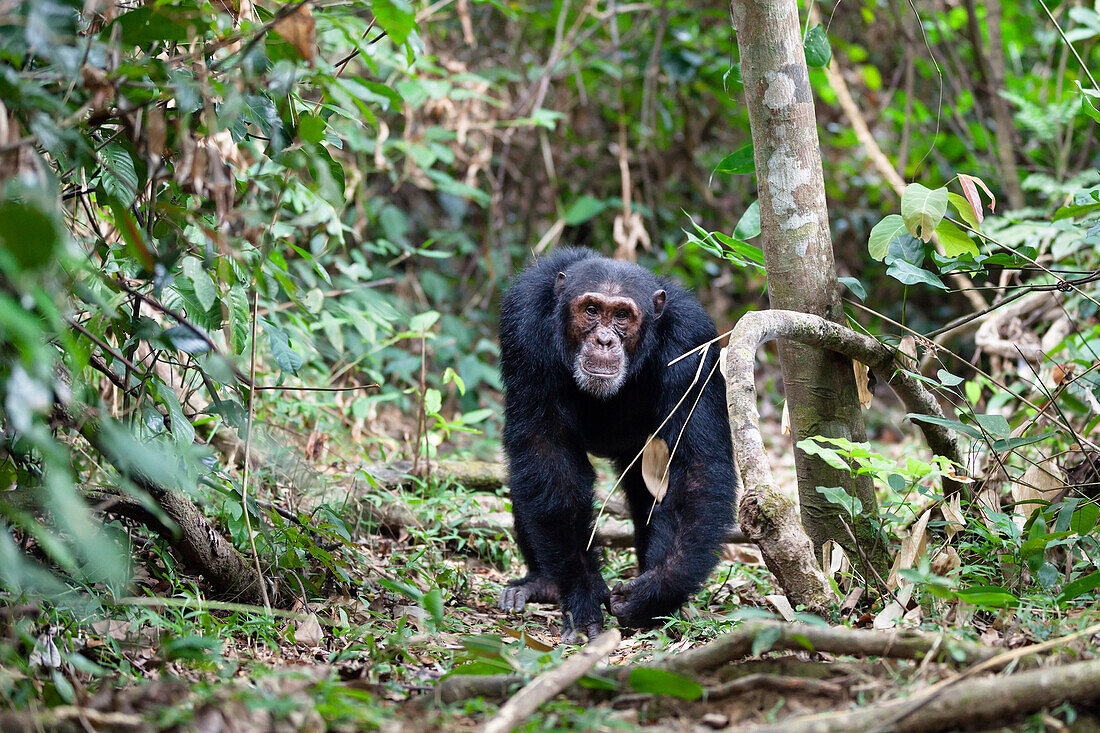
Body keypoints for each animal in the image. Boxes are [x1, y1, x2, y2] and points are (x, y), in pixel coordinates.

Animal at [501, 245, 739, 638]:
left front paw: (654, 592)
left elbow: (695, 465)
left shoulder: (693, 343)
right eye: (591, 310)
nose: (604, 340)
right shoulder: (524, 325)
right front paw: (582, 593)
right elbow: (547, 455)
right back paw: (542, 583)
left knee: (649, 498)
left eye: (623, 316)